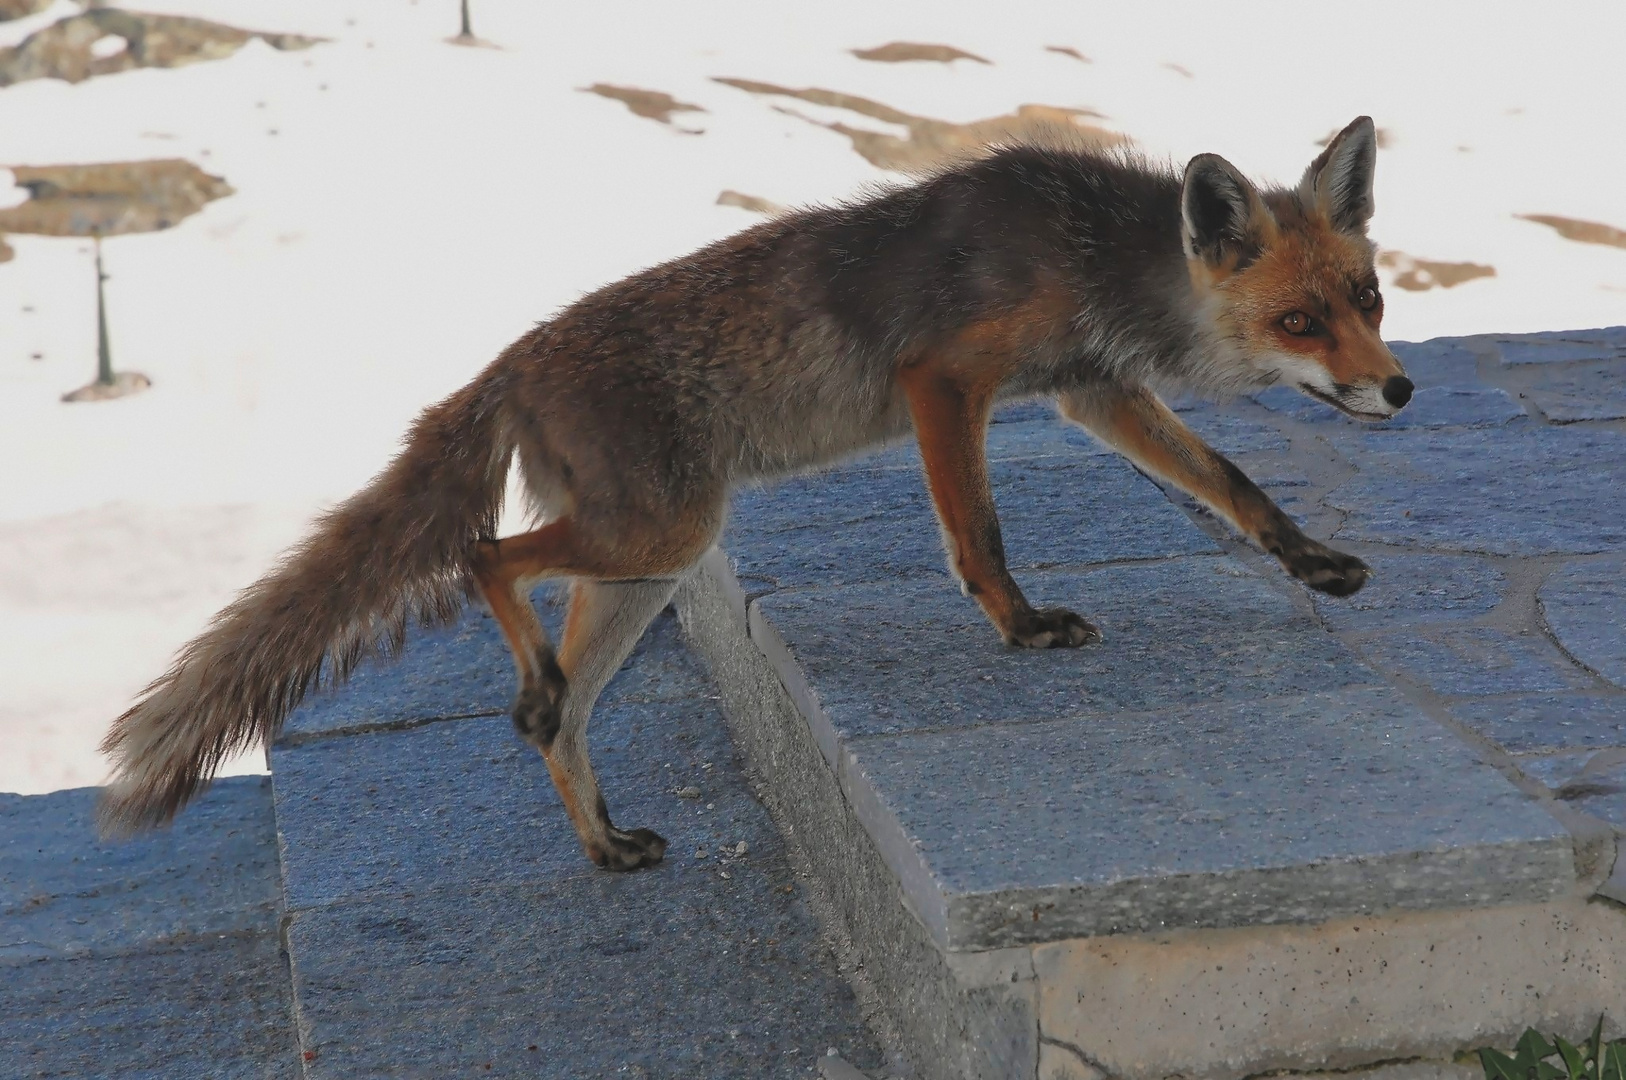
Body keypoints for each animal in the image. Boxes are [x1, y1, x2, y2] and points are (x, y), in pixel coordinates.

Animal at [95, 116, 1411, 871]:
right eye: (1300, 321)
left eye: (1369, 297)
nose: (1398, 390)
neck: (1088, 256)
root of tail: (510, 361)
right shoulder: (946, 379)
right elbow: (978, 533)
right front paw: (1022, 623)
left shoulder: (1091, 388)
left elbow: (1232, 483)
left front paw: (1308, 560)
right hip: (666, 527)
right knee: (486, 558)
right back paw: (530, 689)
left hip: (646, 564)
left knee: (565, 712)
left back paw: (600, 836)